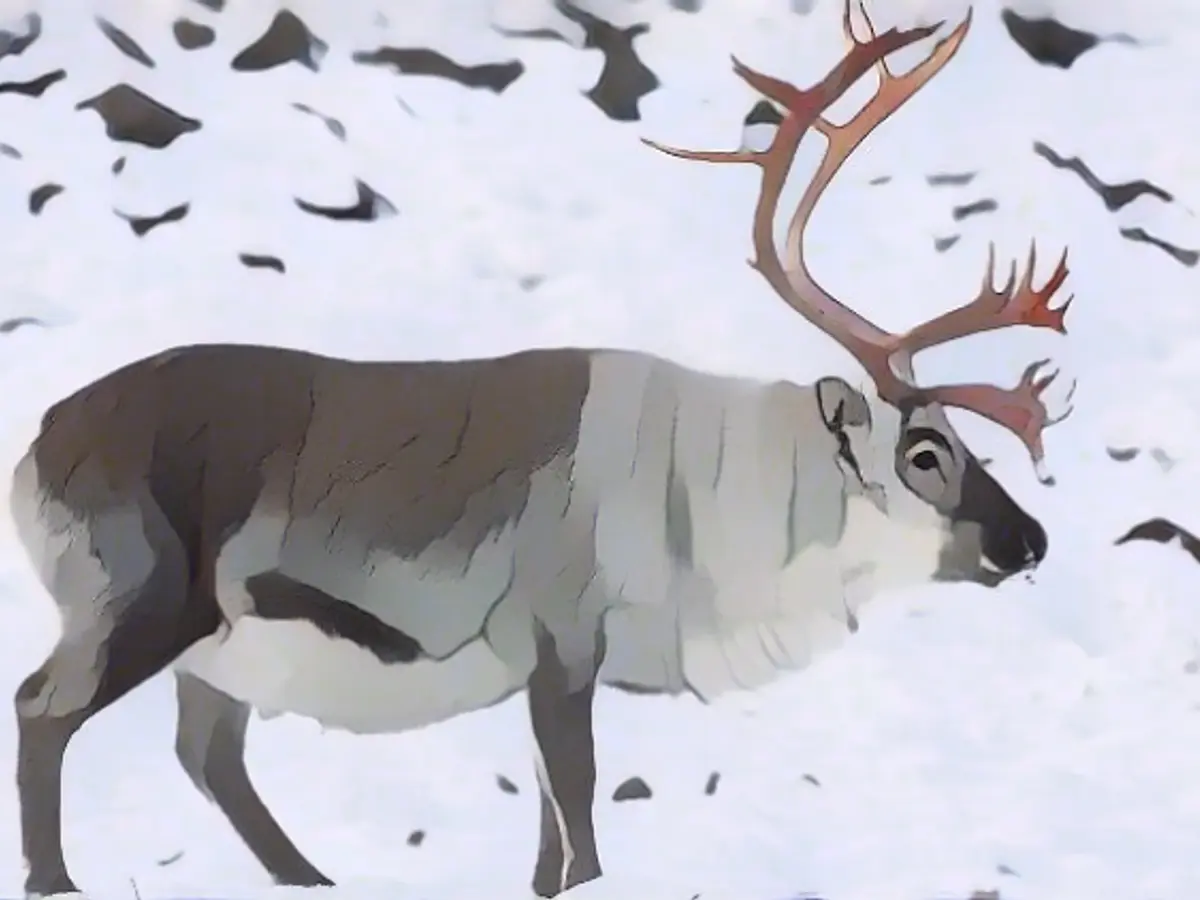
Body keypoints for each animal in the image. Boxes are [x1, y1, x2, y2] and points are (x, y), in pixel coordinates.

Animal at [9, 3, 1074, 898]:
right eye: (926, 450)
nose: (1030, 540)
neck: (717, 514)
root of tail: (36, 448)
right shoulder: (564, 636)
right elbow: (583, 820)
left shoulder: (537, 666)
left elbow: (547, 846)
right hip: (139, 597)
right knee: (41, 707)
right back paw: (59, 881)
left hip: (221, 649)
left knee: (208, 754)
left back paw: (311, 879)